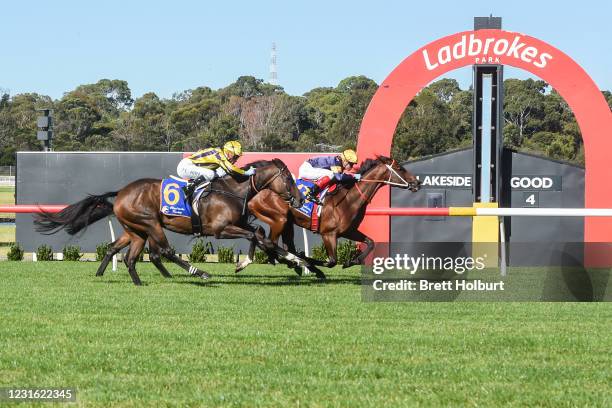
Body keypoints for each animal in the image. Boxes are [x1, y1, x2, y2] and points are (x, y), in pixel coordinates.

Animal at [33, 158, 306, 286]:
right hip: (150, 224)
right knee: (162, 251)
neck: (231, 190)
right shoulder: (220, 229)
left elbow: (258, 232)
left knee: (128, 255)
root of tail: (120, 193)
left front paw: (293, 260)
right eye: (289, 179)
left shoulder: (240, 223)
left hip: (137, 231)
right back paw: (199, 272)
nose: (301, 198)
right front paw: (252, 262)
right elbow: (255, 236)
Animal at [244, 155, 420, 274]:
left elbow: (371, 242)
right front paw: (309, 261)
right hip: (279, 219)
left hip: (287, 222)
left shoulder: (349, 231)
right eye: (400, 168)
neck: (348, 199)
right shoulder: (328, 234)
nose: (417, 183)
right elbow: (332, 261)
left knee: (281, 245)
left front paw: (352, 261)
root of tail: (257, 191)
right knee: (271, 244)